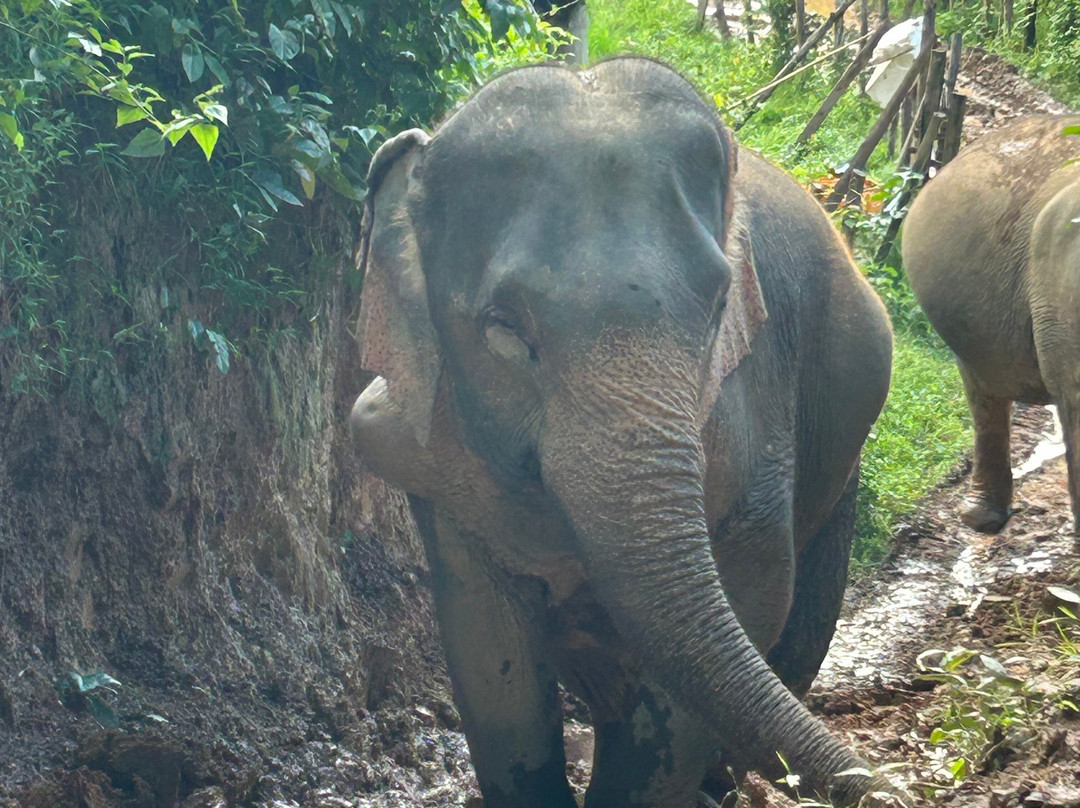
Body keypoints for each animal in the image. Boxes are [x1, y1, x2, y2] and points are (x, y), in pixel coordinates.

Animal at [350, 58, 894, 806]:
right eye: (503, 327)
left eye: (720, 304)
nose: (884, 791)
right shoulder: (436, 461)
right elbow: (489, 652)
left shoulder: (751, 428)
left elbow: (742, 614)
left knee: (800, 626)